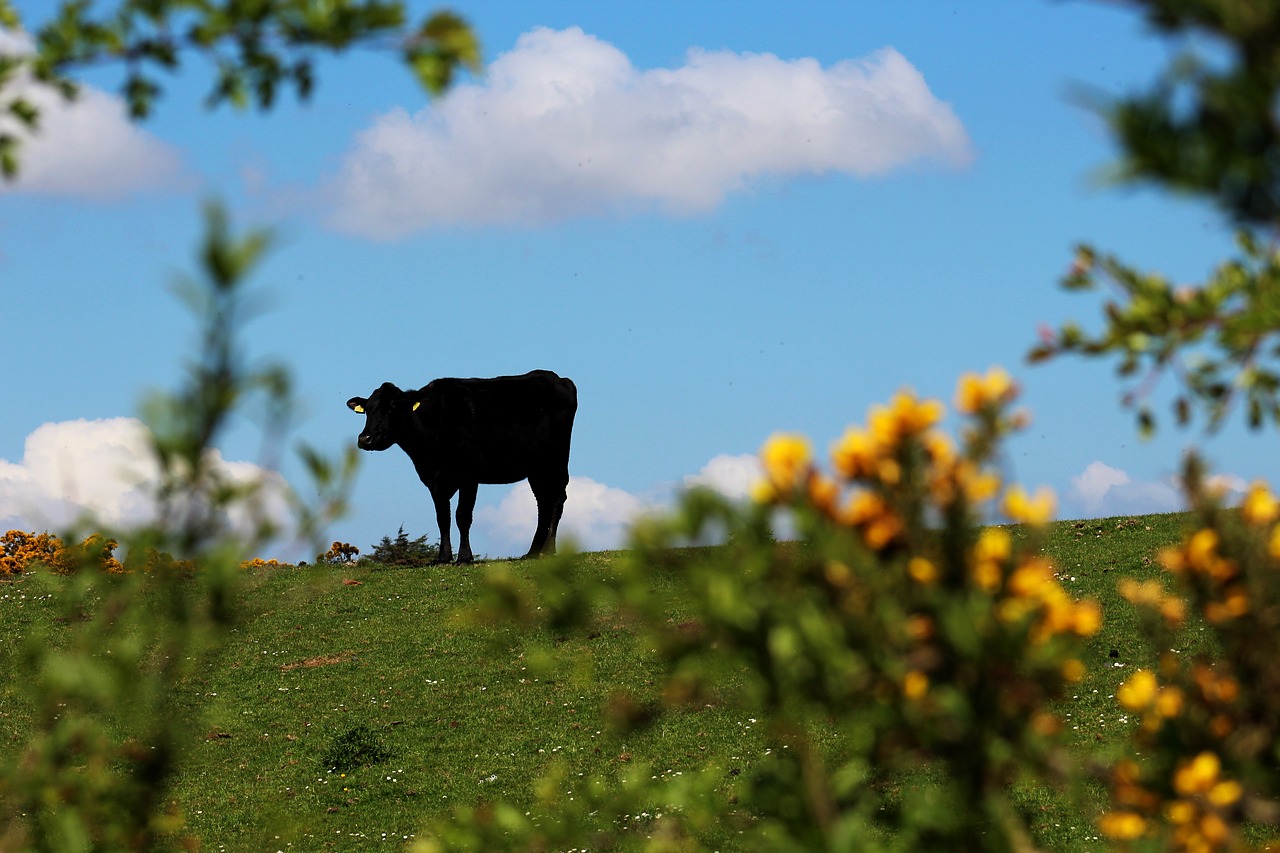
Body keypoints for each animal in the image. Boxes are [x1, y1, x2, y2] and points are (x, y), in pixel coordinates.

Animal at [345, 366, 576, 560]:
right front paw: (443, 557)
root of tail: (557, 378)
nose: (365, 439)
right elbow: (442, 518)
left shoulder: (469, 475)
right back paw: (532, 552)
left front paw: (464, 557)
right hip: (535, 468)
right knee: (543, 503)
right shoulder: (433, 479)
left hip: (557, 459)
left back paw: (549, 550)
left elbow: (462, 516)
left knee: (557, 499)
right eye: (368, 409)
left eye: (392, 408)